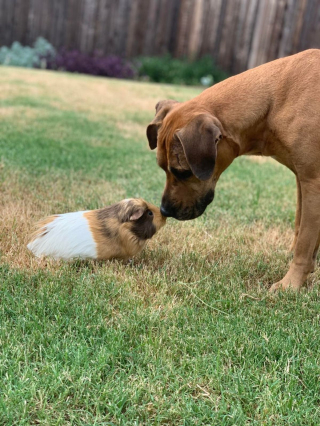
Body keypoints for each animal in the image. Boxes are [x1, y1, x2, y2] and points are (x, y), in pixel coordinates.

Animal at [148, 48, 320, 292]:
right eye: (163, 168)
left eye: (182, 172)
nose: (164, 210)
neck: (274, 102)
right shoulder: (302, 181)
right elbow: (300, 227)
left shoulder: (313, 183)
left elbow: (305, 242)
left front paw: (291, 285)